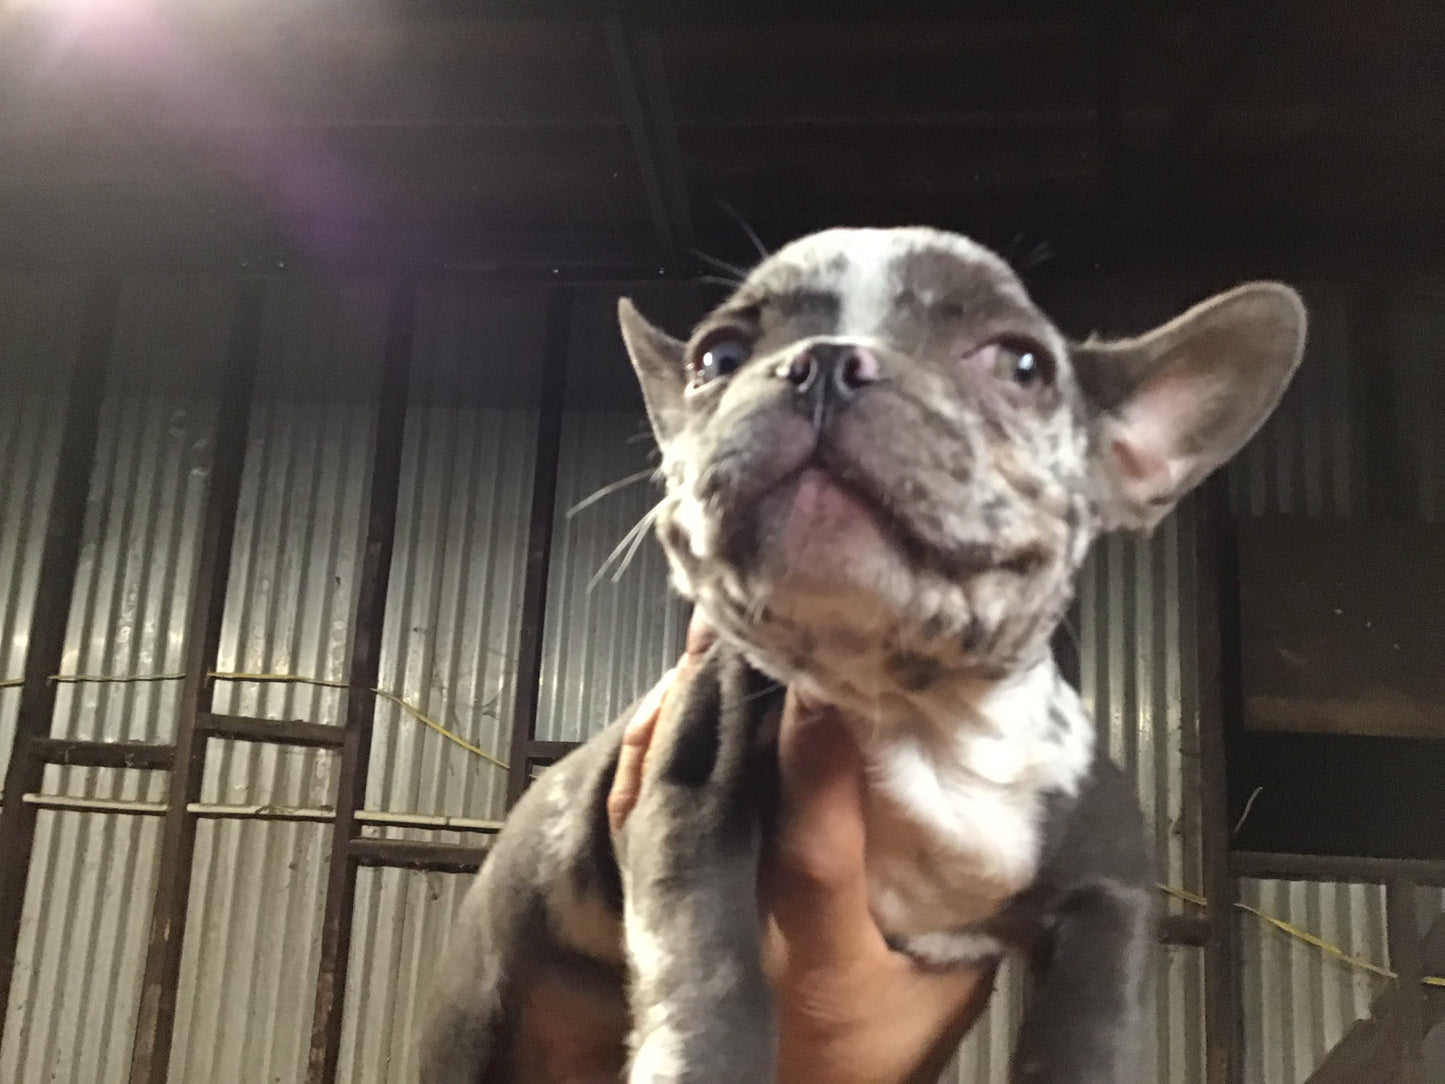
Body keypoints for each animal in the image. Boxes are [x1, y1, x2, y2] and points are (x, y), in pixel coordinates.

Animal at [418, 227, 1306, 1083]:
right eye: (717, 357)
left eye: (1021, 364)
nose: (822, 363)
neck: (910, 709)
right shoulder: (692, 801)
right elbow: (711, 976)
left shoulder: (1106, 889)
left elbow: (1091, 1035)